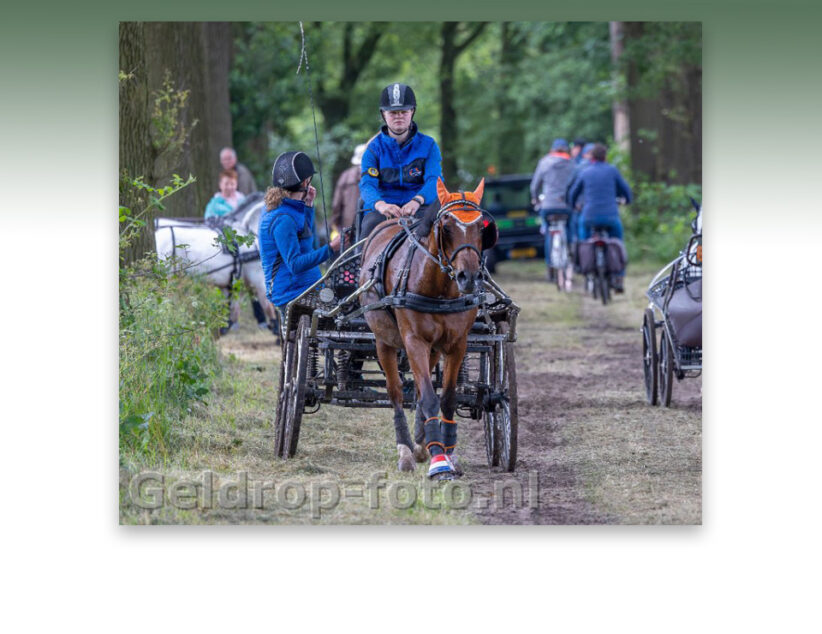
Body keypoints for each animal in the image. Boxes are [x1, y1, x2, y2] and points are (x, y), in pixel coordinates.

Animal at [360, 175, 490, 476]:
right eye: (447, 227)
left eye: (481, 227)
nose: (468, 277)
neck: (439, 289)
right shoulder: (414, 341)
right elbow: (428, 397)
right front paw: (438, 461)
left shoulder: (456, 343)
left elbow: (446, 397)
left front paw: (447, 451)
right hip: (384, 341)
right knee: (396, 392)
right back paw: (407, 450)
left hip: (432, 349)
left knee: (419, 389)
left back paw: (421, 443)